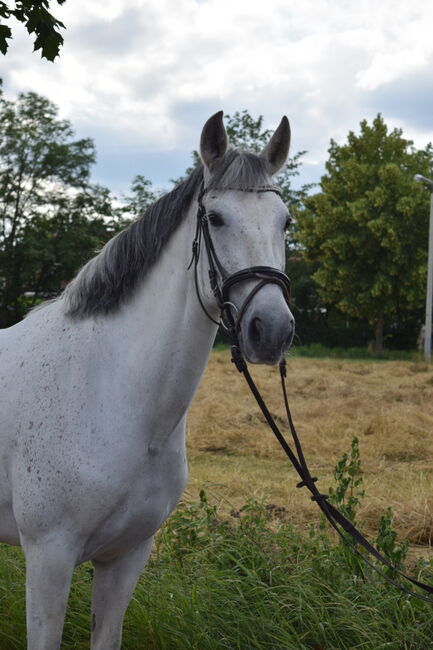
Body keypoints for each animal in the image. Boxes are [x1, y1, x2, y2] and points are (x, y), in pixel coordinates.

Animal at [0, 112, 294, 648]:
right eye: (215, 219)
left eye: (286, 222)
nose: (272, 330)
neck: (110, 392)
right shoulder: (48, 557)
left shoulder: (127, 557)